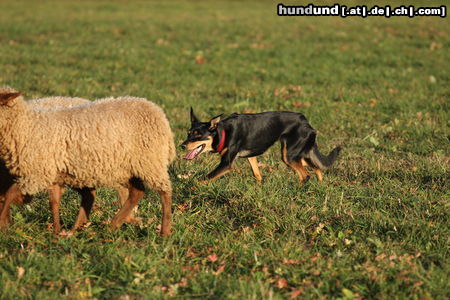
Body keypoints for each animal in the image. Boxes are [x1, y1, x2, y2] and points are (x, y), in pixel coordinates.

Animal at [0, 91, 176, 237]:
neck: (26, 126)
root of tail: (158, 113)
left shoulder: (37, 172)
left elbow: (10, 194)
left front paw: (4, 222)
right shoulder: (47, 173)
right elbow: (52, 202)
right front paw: (56, 232)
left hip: (148, 161)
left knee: (164, 192)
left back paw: (164, 231)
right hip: (112, 167)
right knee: (133, 192)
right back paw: (109, 225)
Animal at [181, 108, 340, 183]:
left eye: (198, 135)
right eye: (189, 133)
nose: (182, 146)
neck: (223, 132)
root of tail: (306, 122)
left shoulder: (226, 164)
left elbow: (203, 179)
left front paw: (190, 188)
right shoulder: (251, 156)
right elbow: (257, 174)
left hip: (288, 156)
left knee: (305, 175)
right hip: (296, 154)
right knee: (316, 166)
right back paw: (320, 186)